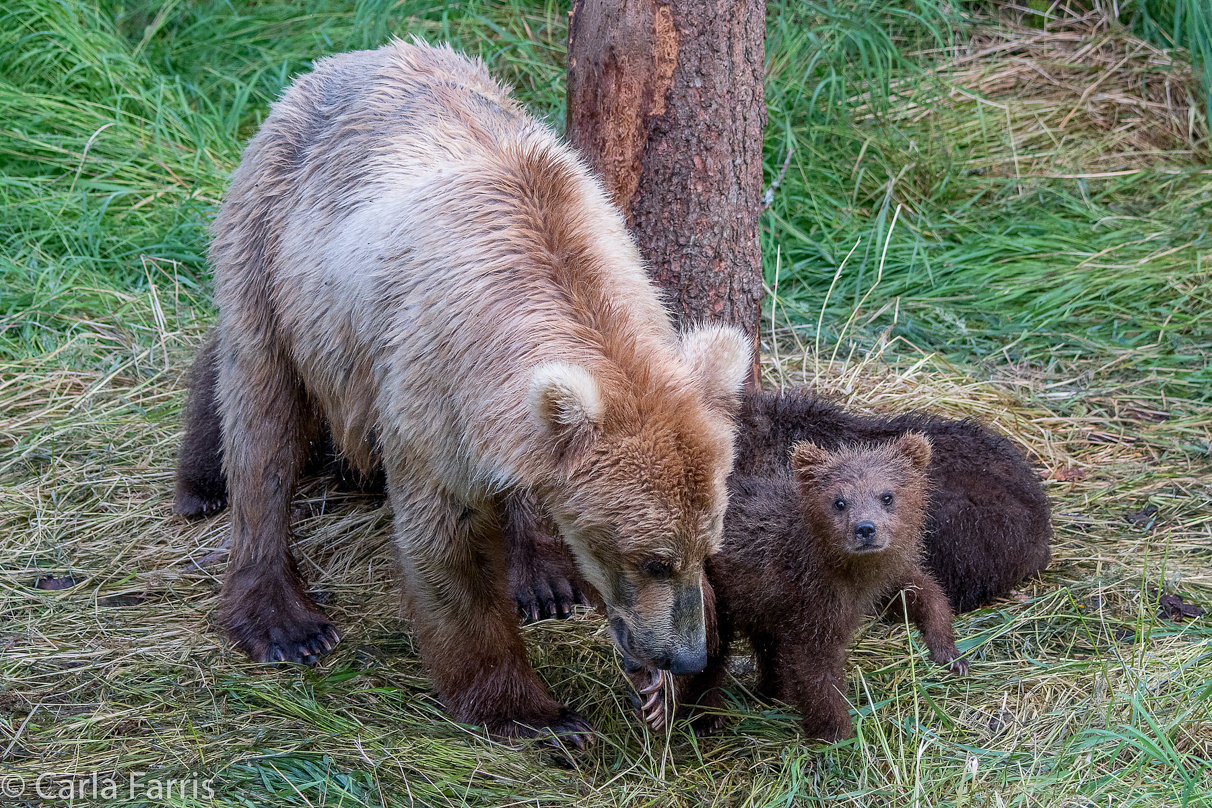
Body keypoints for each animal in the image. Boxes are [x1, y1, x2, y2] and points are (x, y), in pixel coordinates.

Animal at [195, 41, 751, 741]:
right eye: (651, 558)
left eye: (706, 546)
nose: (686, 655)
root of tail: (342, 61)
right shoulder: (432, 381)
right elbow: (447, 542)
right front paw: (540, 715)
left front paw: (657, 691)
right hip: (275, 260)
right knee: (260, 419)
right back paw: (281, 618)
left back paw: (543, 578)